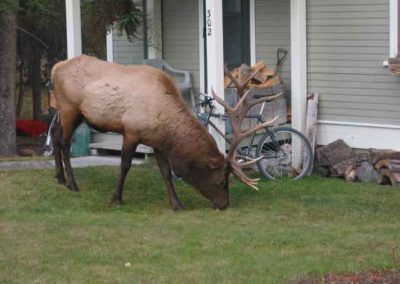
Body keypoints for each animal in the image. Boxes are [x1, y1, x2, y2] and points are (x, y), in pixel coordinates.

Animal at [50, 56, 280, 211]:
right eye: (222, 181)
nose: (224, 205)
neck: (163, 121)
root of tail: (54, 67)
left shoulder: (156, 141)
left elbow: (166, 172)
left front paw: (177, 204)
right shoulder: (131, 131)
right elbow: (125, 166)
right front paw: (116, 198)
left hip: (70, 112)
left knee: (55, 133)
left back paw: (60, 178)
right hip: (70, 107)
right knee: (65, 143)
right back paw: (73, 184)